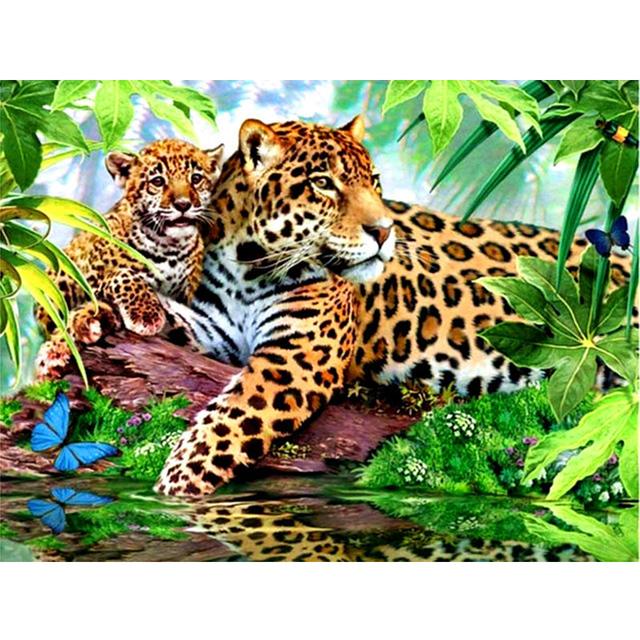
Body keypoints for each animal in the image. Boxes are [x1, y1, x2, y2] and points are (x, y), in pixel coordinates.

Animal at [35, 138, 224, 378]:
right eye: (158, 181)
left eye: (196, 179)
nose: (183, 205)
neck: (168, 246)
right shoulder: (87, 279)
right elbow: (124, 275)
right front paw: (147, 314)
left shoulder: (186, 298)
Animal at [145, 116, 632, 498]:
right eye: (323, 184)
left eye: (374, 183)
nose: (383, 231)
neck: (246, 267)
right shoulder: (214, 330)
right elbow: (169, 320)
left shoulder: (299, 357)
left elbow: (230, 420)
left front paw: (174, 485)